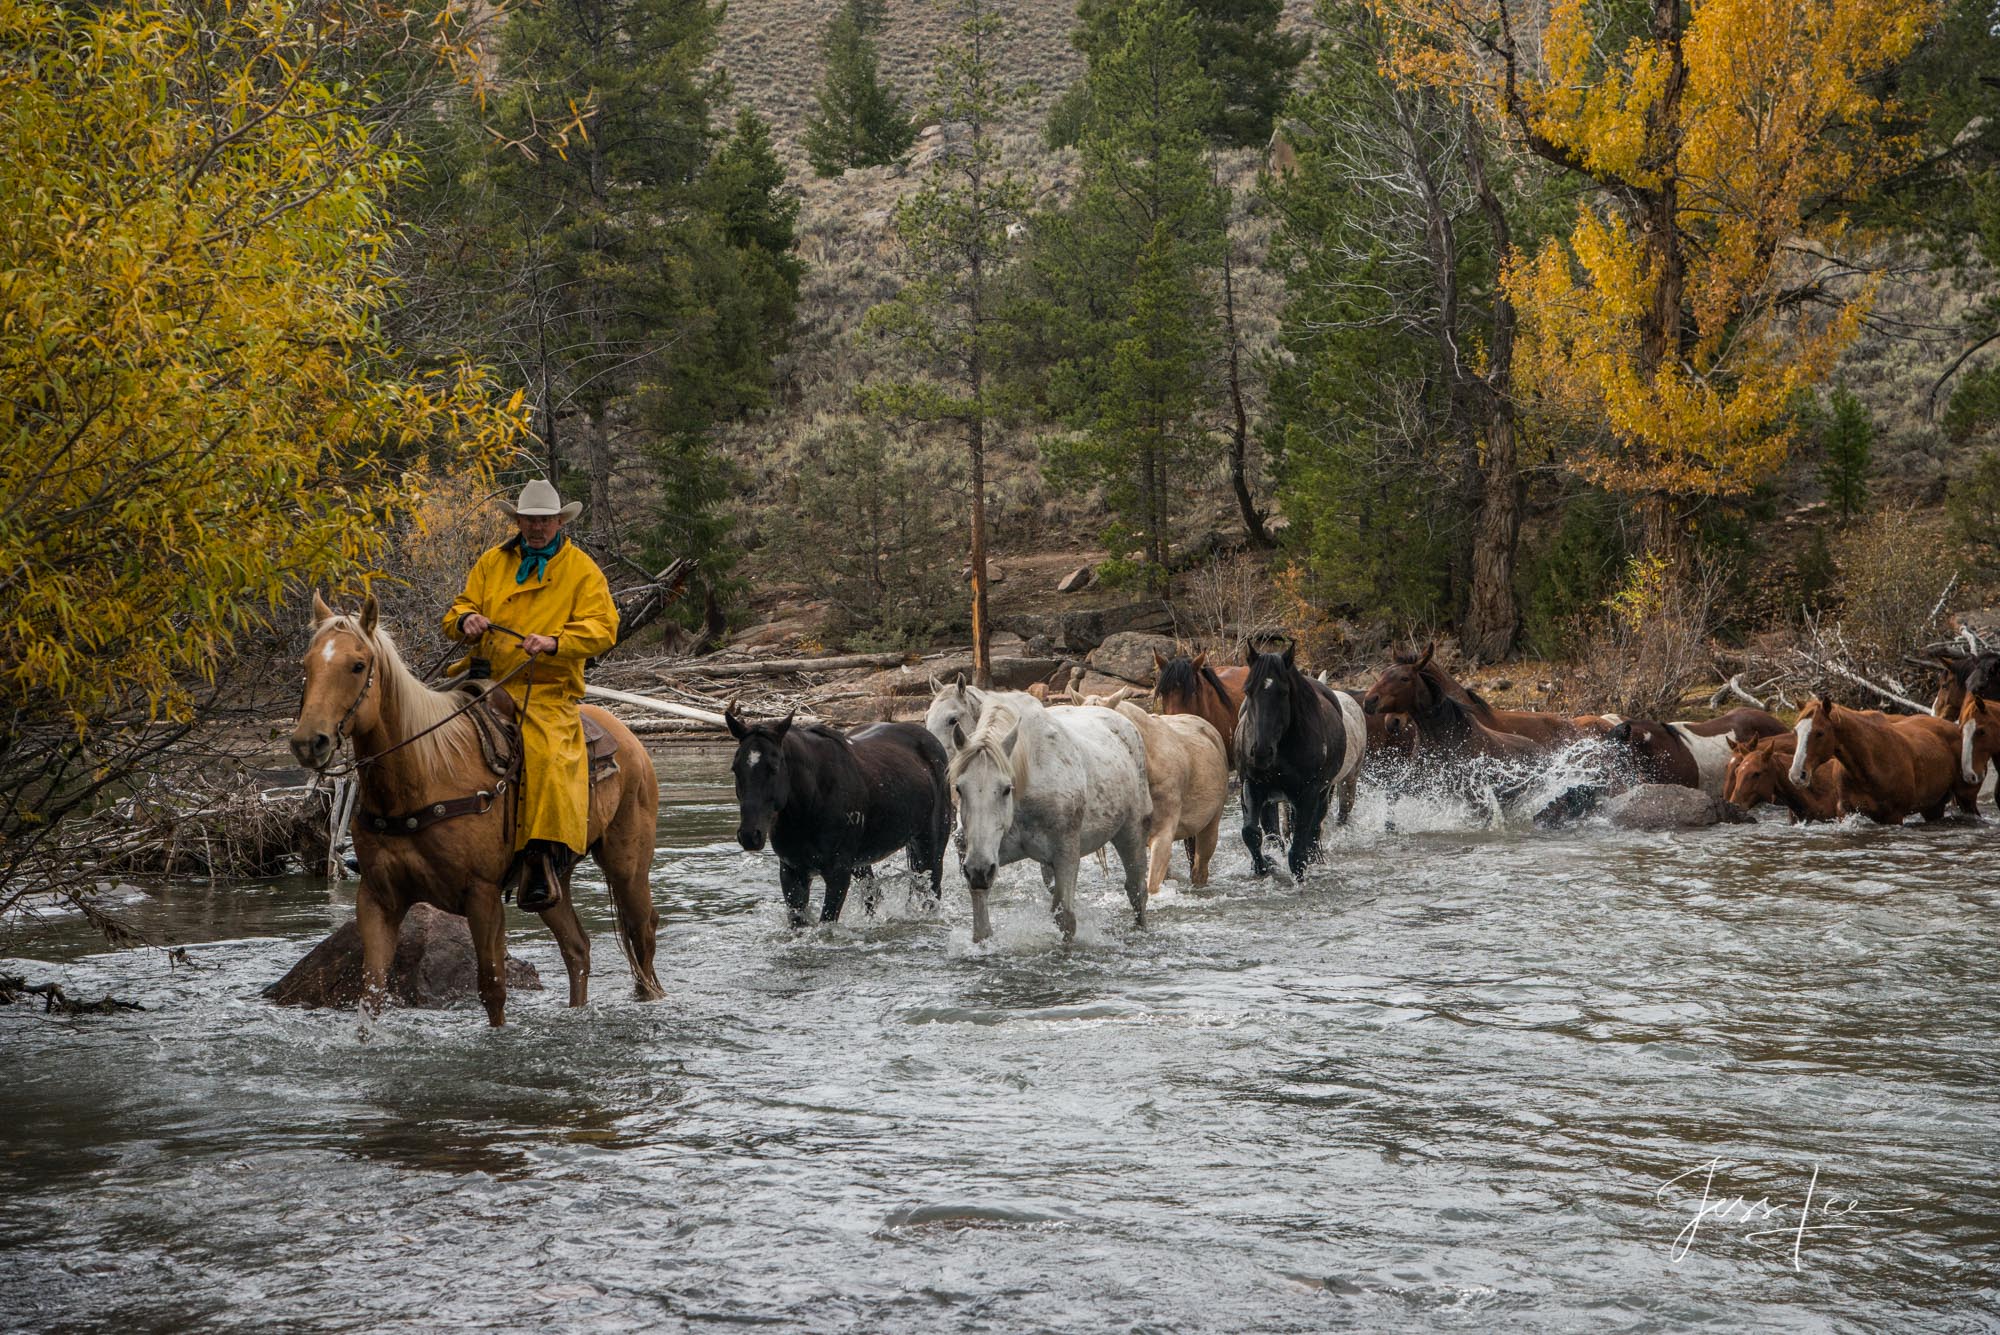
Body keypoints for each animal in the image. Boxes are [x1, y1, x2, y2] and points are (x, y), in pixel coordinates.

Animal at [290, 587, 664, 1031]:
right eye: (307, 664)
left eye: (357, 664)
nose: (309, 742)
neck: (422, 774)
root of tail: (631, 739)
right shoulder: (378, 899)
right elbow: (371, 995)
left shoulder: (482, 894)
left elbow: (493, 988)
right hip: (550, 880)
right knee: (577, 948)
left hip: (627, 866)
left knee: (642, 938)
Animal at [728, 707, 952, 927]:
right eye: (735, 768)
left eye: (774, 767)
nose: (750, 835)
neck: (810, 805)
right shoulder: (792, 872)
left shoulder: (838, 874)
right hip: (862, 864)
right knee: (873, 894)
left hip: (930, 849)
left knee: (931, 894)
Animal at [944, 695, 1152, 943]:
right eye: (959, 788)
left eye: (1006, 789)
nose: (979, 870)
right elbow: (981, 931)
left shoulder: (1066, 855)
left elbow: (1066, 919)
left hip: (1131, 833)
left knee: (1137, 890)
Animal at [1232, 639, 1360, 879]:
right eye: (1247, 690)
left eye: (1283, 692)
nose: (1261, 752)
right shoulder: (1251, 785)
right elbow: (1251, 834)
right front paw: (1265, 866)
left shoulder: (1308, 792)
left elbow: (1299, 848)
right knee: (1274, 829)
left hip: (1323, 791)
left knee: (1314, 829)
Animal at [1792, 699, 1976, 823]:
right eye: (1796, 731)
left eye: (1820, 733)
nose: (1797, 774)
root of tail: (1956, 728)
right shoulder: (1845, 812)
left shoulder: (1894, 816)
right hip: (1933, 807)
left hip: (1967, 799)